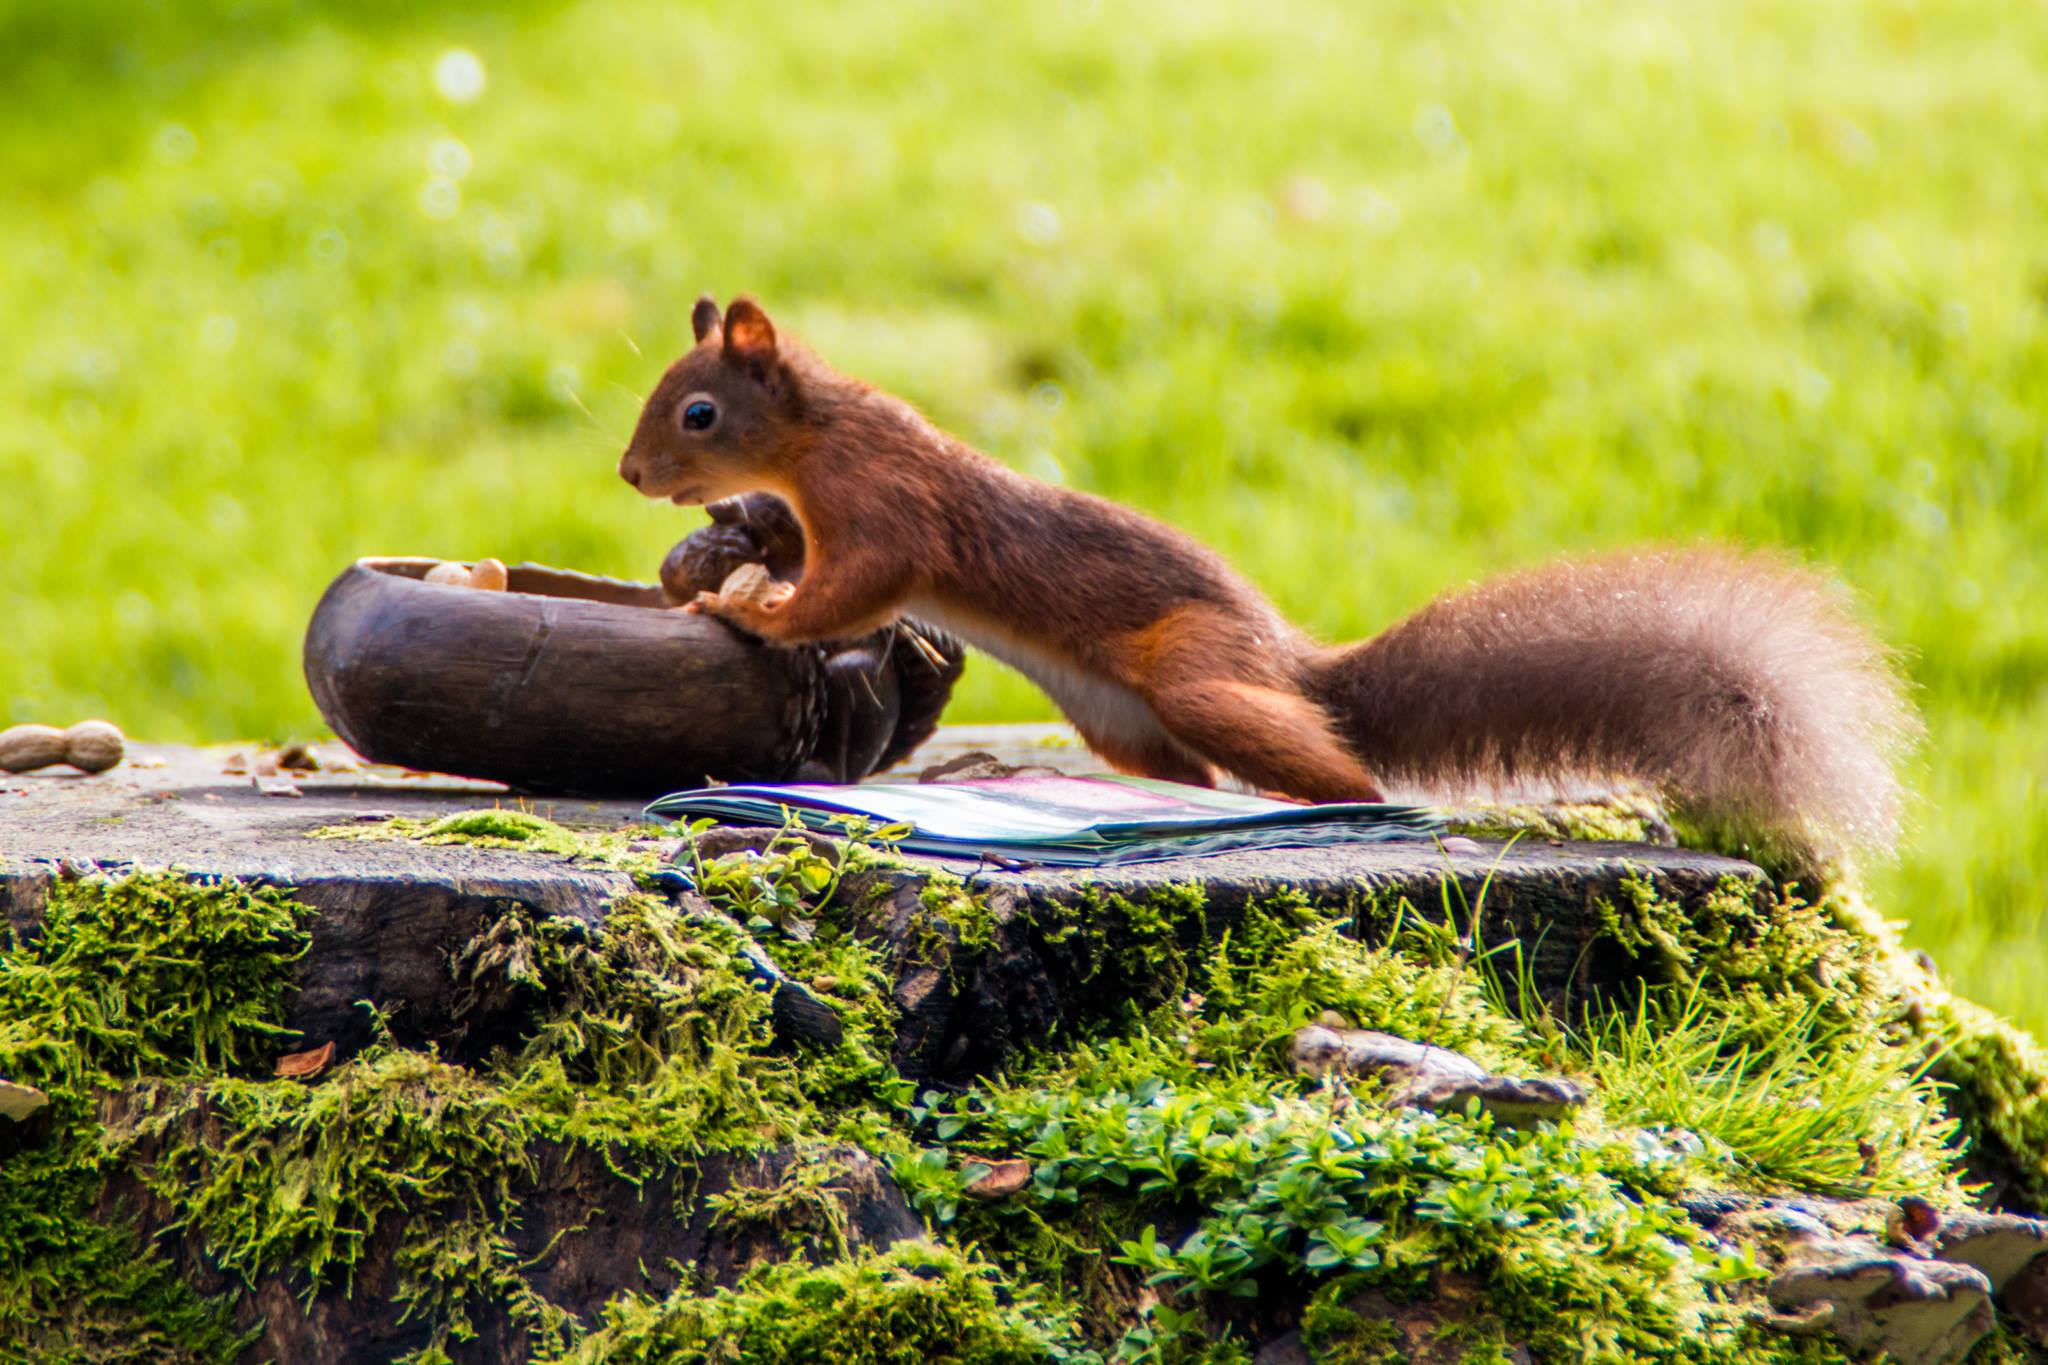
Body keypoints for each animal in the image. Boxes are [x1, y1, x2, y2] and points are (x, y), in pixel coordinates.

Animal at [614, 296, 1908, 859]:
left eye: (697, 411)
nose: (629, 474)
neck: (817, 436)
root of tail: (1290, 661)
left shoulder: (889, 511)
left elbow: (858, 588)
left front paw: (758, 609)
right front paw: (726, 561)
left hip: (1197, 676)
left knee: (1348, 773)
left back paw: (1332, 801)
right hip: (1125, 721)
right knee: (1186, 771)